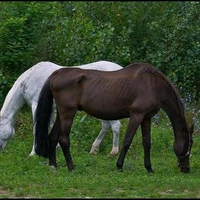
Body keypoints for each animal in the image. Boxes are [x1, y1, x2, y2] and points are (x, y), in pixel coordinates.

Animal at [34, 63, 194, 173]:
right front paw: (119, 166)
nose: (186, 169)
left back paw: (53, 167)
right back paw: (71, 167)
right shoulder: (136, 116)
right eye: (189, 144)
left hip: (62, 114)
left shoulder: (146, 118)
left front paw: (149, 168)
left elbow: (147, 143)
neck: (153, 84)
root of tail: (56, 73)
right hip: (68, 113)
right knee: (63, 140)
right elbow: (127, 141)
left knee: (53, 137)